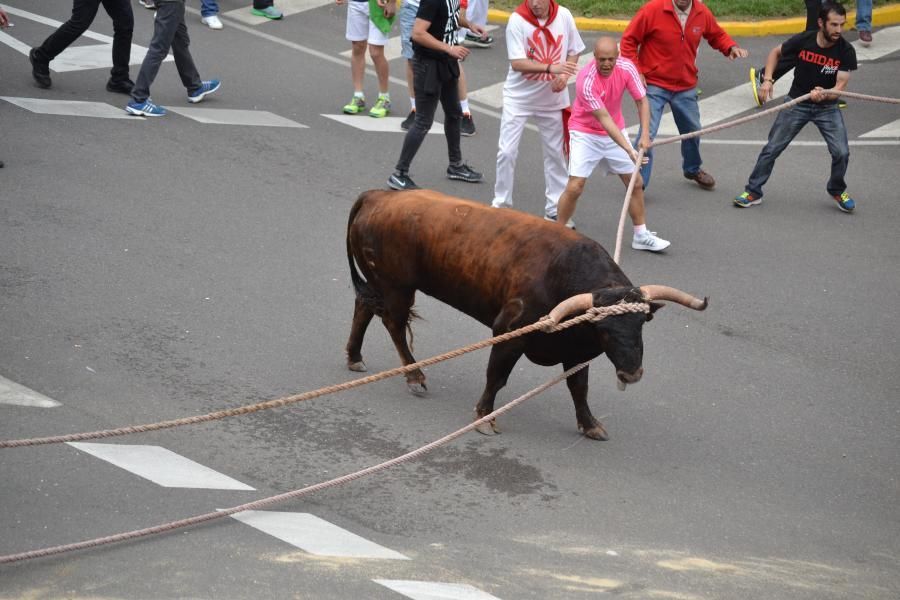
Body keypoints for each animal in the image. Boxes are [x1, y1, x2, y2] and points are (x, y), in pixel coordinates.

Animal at [344, 190, 704, 438]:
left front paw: (590, 425)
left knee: (364, 306)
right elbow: (497, 376)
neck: (563, 273)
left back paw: (354, 357)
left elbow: (579, 388)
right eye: (604, 329)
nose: (631, 374)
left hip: (380, 284)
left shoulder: (576, 352)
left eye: (642, 324)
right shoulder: (509, 332)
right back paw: (414, 377)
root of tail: (380, 195)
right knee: (393, 323)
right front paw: (485, 417)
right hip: (397, 287)